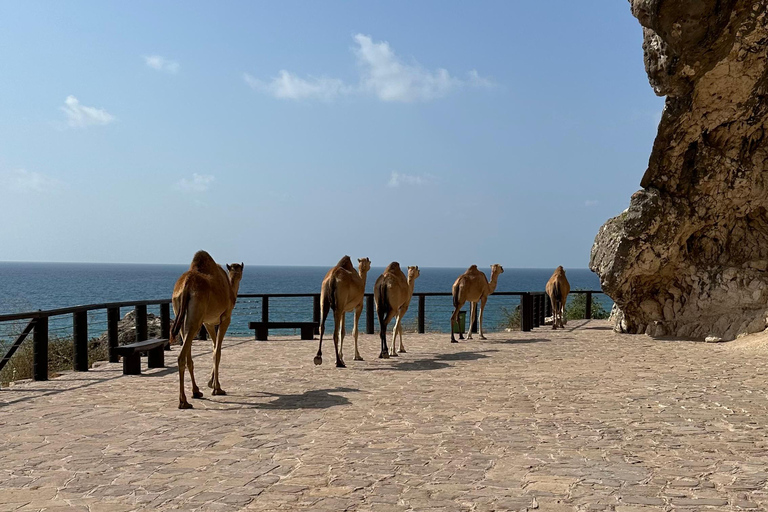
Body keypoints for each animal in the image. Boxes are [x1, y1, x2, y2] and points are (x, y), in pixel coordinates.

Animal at [170, 250, 243, 410]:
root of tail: (186, 285)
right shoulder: (225, 318)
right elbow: (217, 351)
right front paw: (217, 388)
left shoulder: (208, 322)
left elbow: (215, 347)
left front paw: (211, 383)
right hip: (196, 317)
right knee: (182, 355)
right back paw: (183, 401)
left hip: (181, 313)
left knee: (187, 351)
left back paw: (196, 392)